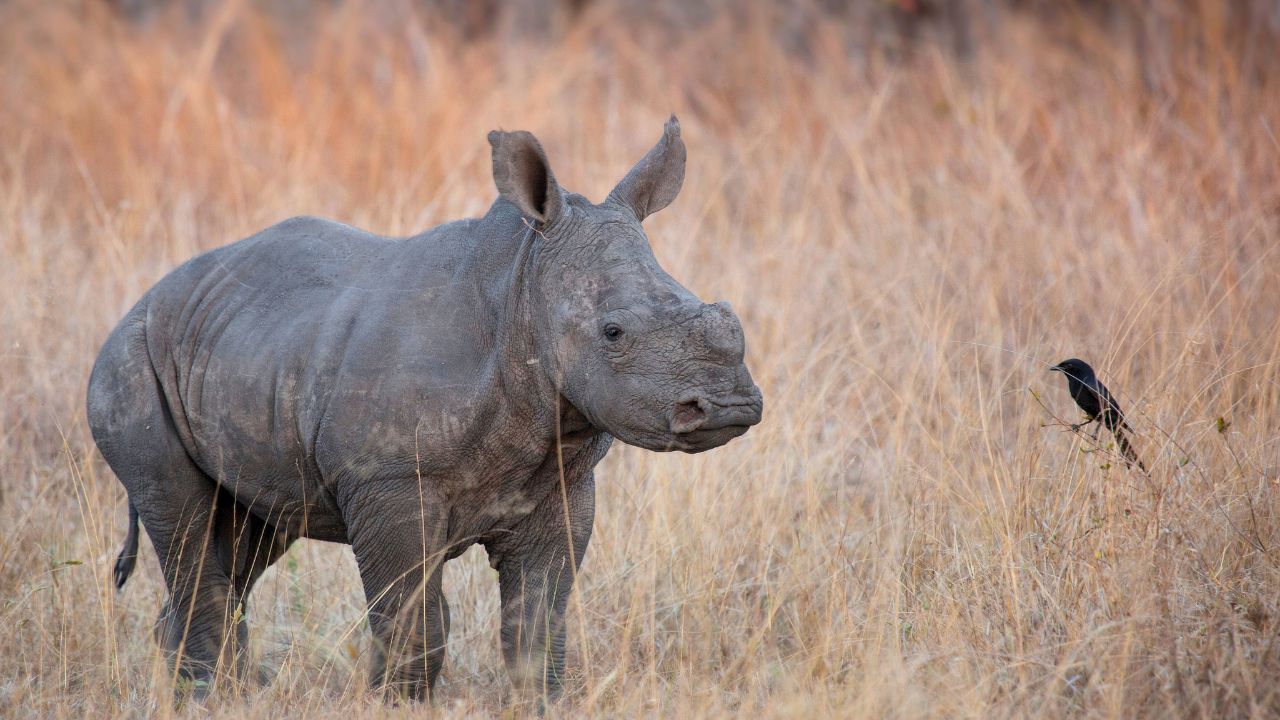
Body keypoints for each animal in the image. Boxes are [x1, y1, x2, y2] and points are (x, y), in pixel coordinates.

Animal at [87, 116, 763, 701]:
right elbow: (415, 622)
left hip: (240, 347)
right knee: (189, 529)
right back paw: (212, 696)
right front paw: (397, 702)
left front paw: (537, 700)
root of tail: (145, 298)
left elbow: (537, 625)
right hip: (127, 364)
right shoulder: (387, 481)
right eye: (614, 332)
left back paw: (205, 691)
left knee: (246, 537)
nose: (729, 405)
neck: (521, 292)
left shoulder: (563, 485)